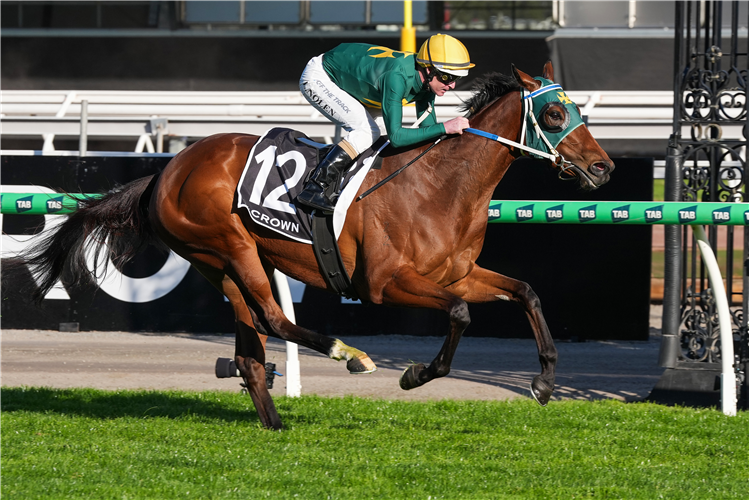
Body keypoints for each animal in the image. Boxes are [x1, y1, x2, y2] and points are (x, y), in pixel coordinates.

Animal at [22, 62, 613, 430]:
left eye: (578, 112)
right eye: (555, 114)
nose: (603, 167)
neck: (440, 185)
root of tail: (166, 171)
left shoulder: (458, 274)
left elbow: (527, 291)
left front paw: (544, 382)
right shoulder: (385, 283)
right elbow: (461, 315)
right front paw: (415, 374)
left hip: (222, 263)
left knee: (251, 345)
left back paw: (276, 422)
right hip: (229, 246)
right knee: (273, 319)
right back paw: (348, 354)